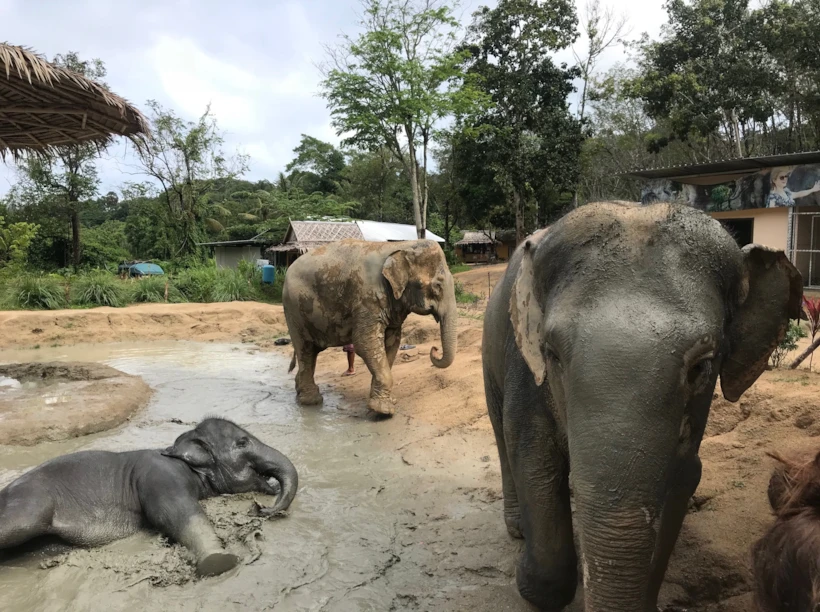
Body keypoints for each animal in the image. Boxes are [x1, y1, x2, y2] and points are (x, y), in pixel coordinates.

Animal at [0, 418, 298, 577]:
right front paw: (219, 561)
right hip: (30, 505)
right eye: (243, 442)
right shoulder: (162, 477)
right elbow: (173, 514)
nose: (260, 508)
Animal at [283, 238, 457, 415]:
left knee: (309, 353)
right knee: (306, 350)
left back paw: (301, 393)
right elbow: (365, 342)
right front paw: (384, 411)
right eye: (437, 286)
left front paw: (383, 403)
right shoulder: (367, 298)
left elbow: (391, 343)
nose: (435, 349)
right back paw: (311, 401)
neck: (402, 245)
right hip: (294, 310)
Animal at [482, 201, 802, 611]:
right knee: (501, 435)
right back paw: (518, 528)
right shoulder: (525, 370)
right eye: (552, 354)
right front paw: (530, 581)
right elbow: (533, 457)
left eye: (701, 366)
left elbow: (681, 478)